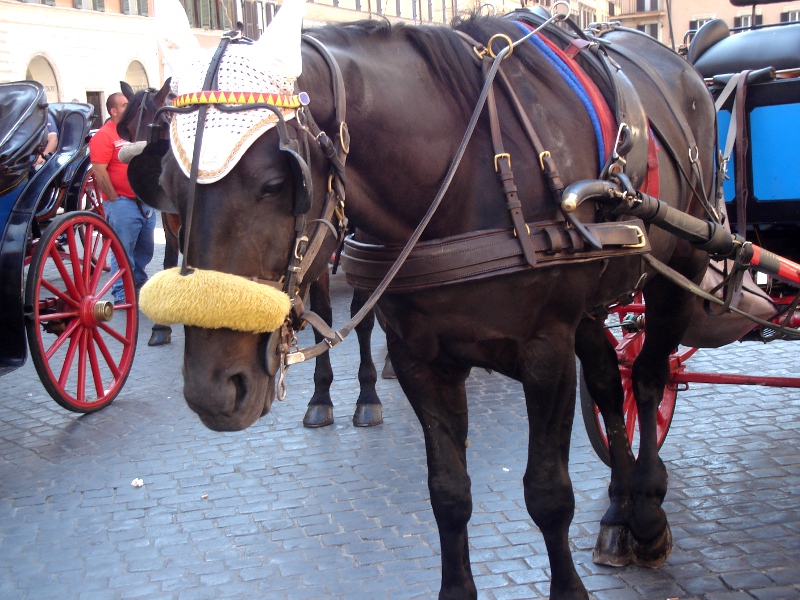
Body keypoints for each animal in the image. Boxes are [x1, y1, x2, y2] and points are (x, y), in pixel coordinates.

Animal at [128, 3, 716, 596]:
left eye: (275, 183)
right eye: (165, 184)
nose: (212, 390)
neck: (467, 179)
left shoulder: (546, 352)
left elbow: (549, 493)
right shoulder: (419, 359)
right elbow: (448, 492)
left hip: (683, 265)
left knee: (648, 377)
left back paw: (647, 509)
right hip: (594, 302)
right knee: (607, 382)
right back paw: (619, 509)